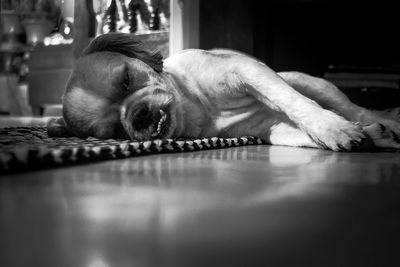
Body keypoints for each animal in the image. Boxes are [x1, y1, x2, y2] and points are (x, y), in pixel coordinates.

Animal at [47, 32, 400, 152]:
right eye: (114, 131)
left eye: (126, 80)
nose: (138, 114)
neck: (195, 109)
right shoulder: (272, 130)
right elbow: (301, 134)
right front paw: (366, 138)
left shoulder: (248, 72)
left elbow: (295, 103)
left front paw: (335, 129)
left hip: (313, 84)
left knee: (354, 109)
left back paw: (385, 122)